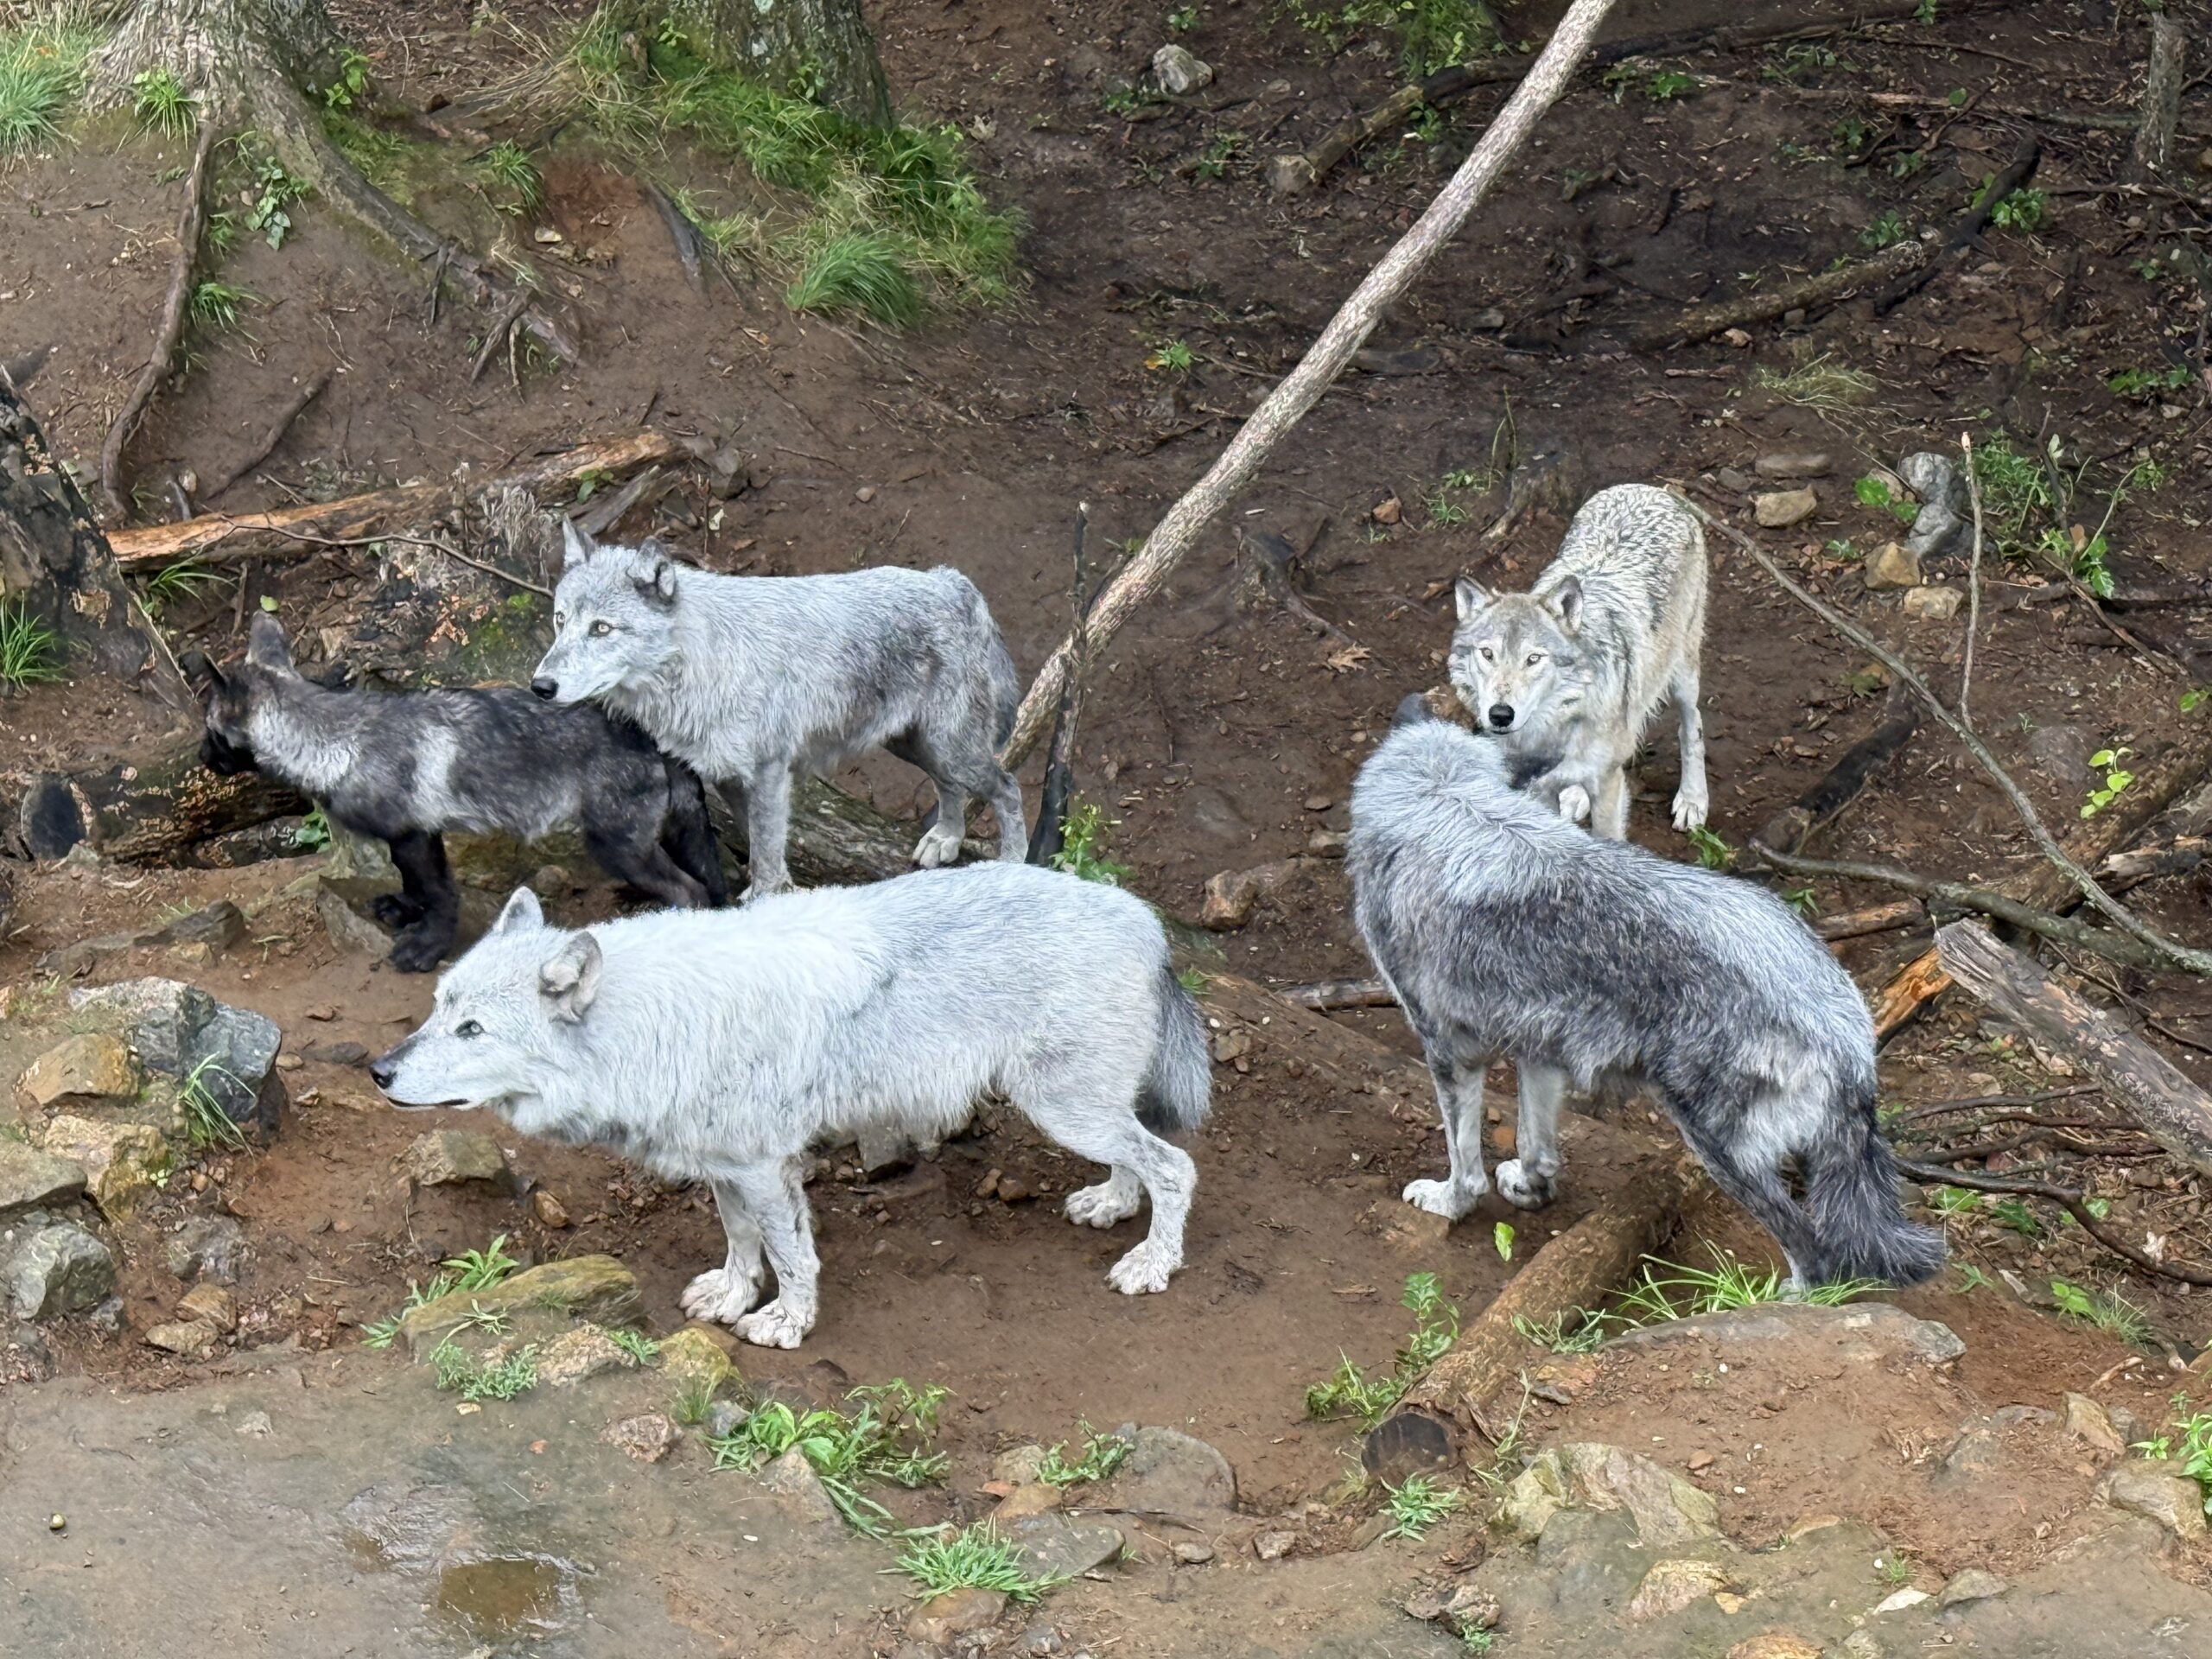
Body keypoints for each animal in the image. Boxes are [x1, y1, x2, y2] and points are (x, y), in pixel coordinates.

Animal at [187, 615, 725, 972]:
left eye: (210, 731)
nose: (200, 756)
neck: (338, 740)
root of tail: (652, 736)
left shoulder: (412, 835)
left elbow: (439, 895)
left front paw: (427, 947)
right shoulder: (418, 837)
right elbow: (417, 887)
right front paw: (405, 912)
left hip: (616, 847)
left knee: (691, 892)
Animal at [369, 861, 1211, 1347]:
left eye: (473, 1030)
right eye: (439, 1008)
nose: (379, 1070)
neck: (653, 1023)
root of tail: (1145, 919)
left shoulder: (764, 1165)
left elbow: (791, 1254)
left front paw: (783, 1322)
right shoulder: (725, 1165)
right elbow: (741, 1241)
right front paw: (731, 1295)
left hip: (1063, 1108)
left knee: (1175, 1166)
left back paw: (1151, 1263)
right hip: (1084, 1109)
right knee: (1140, 1157)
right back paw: (1111, 1205)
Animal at [530, 523, 1026, 900]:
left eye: (601, 629)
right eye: (560, 620)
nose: (541, 686)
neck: (703, 663)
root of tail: (951, 581)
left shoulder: (768, 772)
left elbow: (767, 853)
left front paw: (765, 906)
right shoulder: (729, 779)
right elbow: (760, 847)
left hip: (950, 746)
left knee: (1007, 787)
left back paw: (1010, 864)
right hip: (917, 746)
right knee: (951, 787)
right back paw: (946, 839)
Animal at [1347, 697, 1943, 1288]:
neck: (1446, 803)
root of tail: (1845, 1029)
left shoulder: (1450, 1051)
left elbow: (1464, 1163)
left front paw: (1448, 1201)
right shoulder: (1539, 1048)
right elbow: (1535, 1142)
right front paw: (1532, 1188)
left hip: (1718, 1148)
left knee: (1814, 1255)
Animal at [1448, 482, 1709, 840]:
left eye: (1534, 658)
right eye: (1487, 654)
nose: (1500, 714)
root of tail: (1652, 489)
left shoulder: (1607, 784)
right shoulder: (1537, 789)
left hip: (1682, 677)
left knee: (1692, 727)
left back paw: (1693, 800)